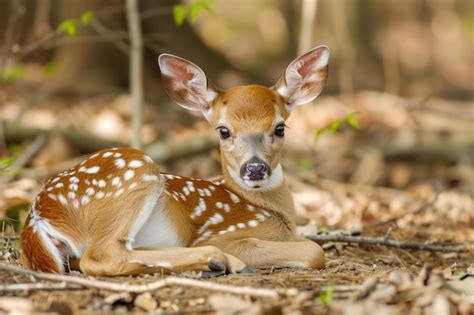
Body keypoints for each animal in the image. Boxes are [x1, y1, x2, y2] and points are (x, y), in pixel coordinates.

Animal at [19, 45, 330, 276]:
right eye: (223, 130)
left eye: (280, 128)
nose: (254, 169)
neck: (269, 210)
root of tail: (39, 212)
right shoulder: (226, 233)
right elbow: (315, 250)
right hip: (136, 173)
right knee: (101, 257)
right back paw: (220, 261)